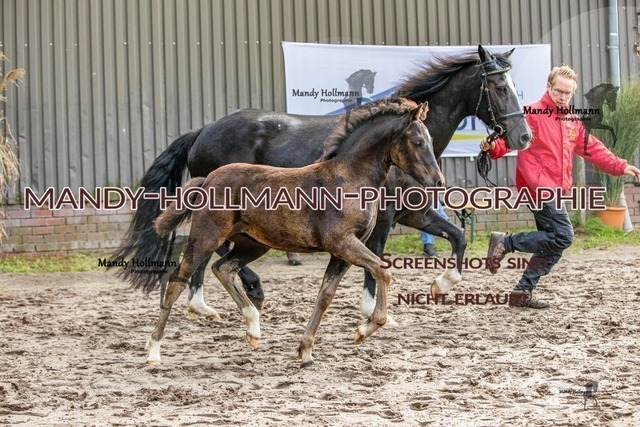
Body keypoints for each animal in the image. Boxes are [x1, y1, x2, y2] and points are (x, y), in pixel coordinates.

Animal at [111, 44, 531, 321]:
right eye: (499, 87)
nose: (523, 136)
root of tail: (202, 131)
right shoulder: (382, 221)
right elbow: (376, 260)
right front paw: (371, 309)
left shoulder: (415, 215)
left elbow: (458, 237)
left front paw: (443, 284)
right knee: (211, 252)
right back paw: (234, 295)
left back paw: (211, 301)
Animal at [144, 98, 441, 366]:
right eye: (417, 142)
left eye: (430, 139)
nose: (438, 181)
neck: (349, 179)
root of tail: (207, 180)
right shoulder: (343, 243)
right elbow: (383, 271)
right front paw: (364, 330)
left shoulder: (343, 253)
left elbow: (325, 296)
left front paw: (306, 351)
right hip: (206, 237)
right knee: (177, 281)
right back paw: (154, 352)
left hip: (252, 243)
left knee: (223, 268)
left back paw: (253, 329)